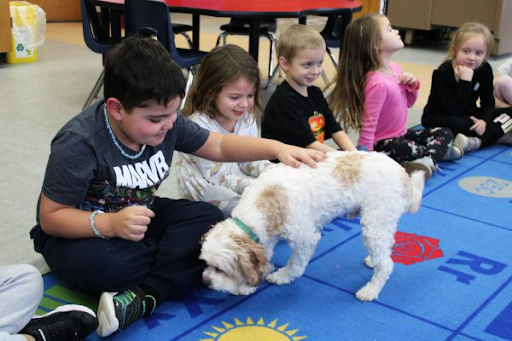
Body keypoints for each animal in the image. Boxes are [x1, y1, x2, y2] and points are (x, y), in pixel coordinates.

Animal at [200, 150, 424, 298]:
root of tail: (404, 176)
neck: (267, 201)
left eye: (220, 269)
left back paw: (370, 290)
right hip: (380, 223)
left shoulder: (305, 237)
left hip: (375, 221)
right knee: (384, 251)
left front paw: (283, 276)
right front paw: (249, 285)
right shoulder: (266, 236)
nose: (205, 281)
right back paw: (372, 260)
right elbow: (266, 255)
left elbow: (295, 264)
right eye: (206, 263)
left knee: (387, 264)